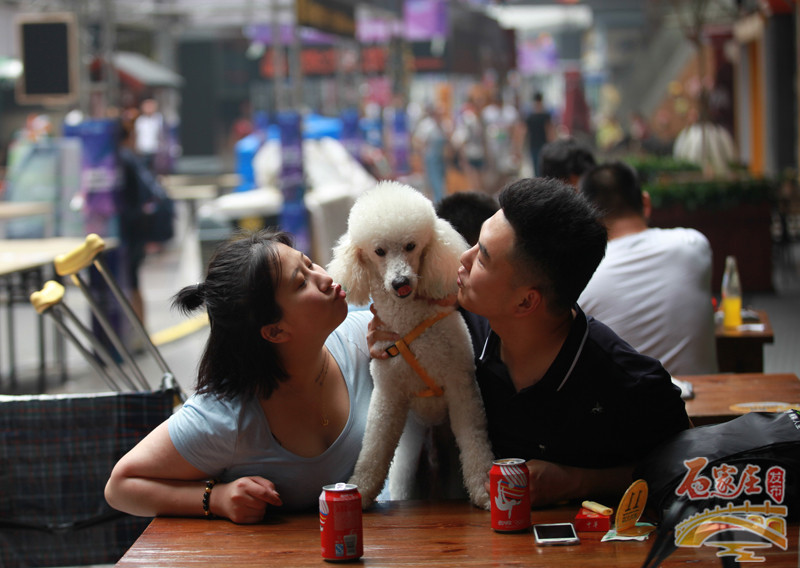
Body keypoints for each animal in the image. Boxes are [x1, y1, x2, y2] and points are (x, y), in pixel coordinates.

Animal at [326, 181, 494, 510]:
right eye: (379, 251)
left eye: (411, 246)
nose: (400, 282)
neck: (408, 325)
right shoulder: (388, 394)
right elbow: (374, 447)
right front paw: (360, 490)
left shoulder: (460, 385)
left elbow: (474, 439)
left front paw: (483, 489)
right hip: (407, 468)